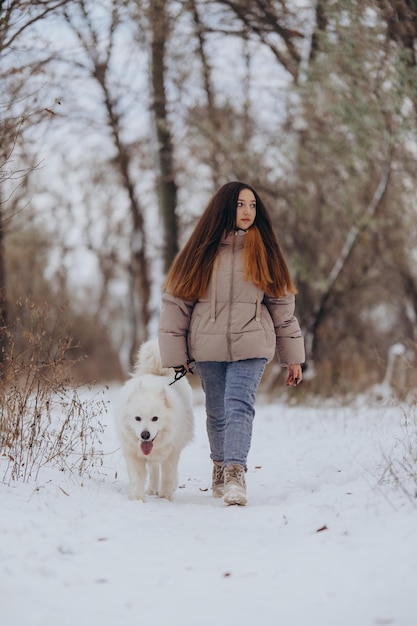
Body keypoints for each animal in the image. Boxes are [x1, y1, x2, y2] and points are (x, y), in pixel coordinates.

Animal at [113, 338, 193, 500]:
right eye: (137, 418)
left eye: (155, 418)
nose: (145, 435)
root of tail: (156, 372)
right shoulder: (133, 455)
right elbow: (138, 478)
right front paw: (137, 499)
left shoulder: (171, 453)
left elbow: (168, 476)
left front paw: (165, 498)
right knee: (154, 470)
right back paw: (152, 489)